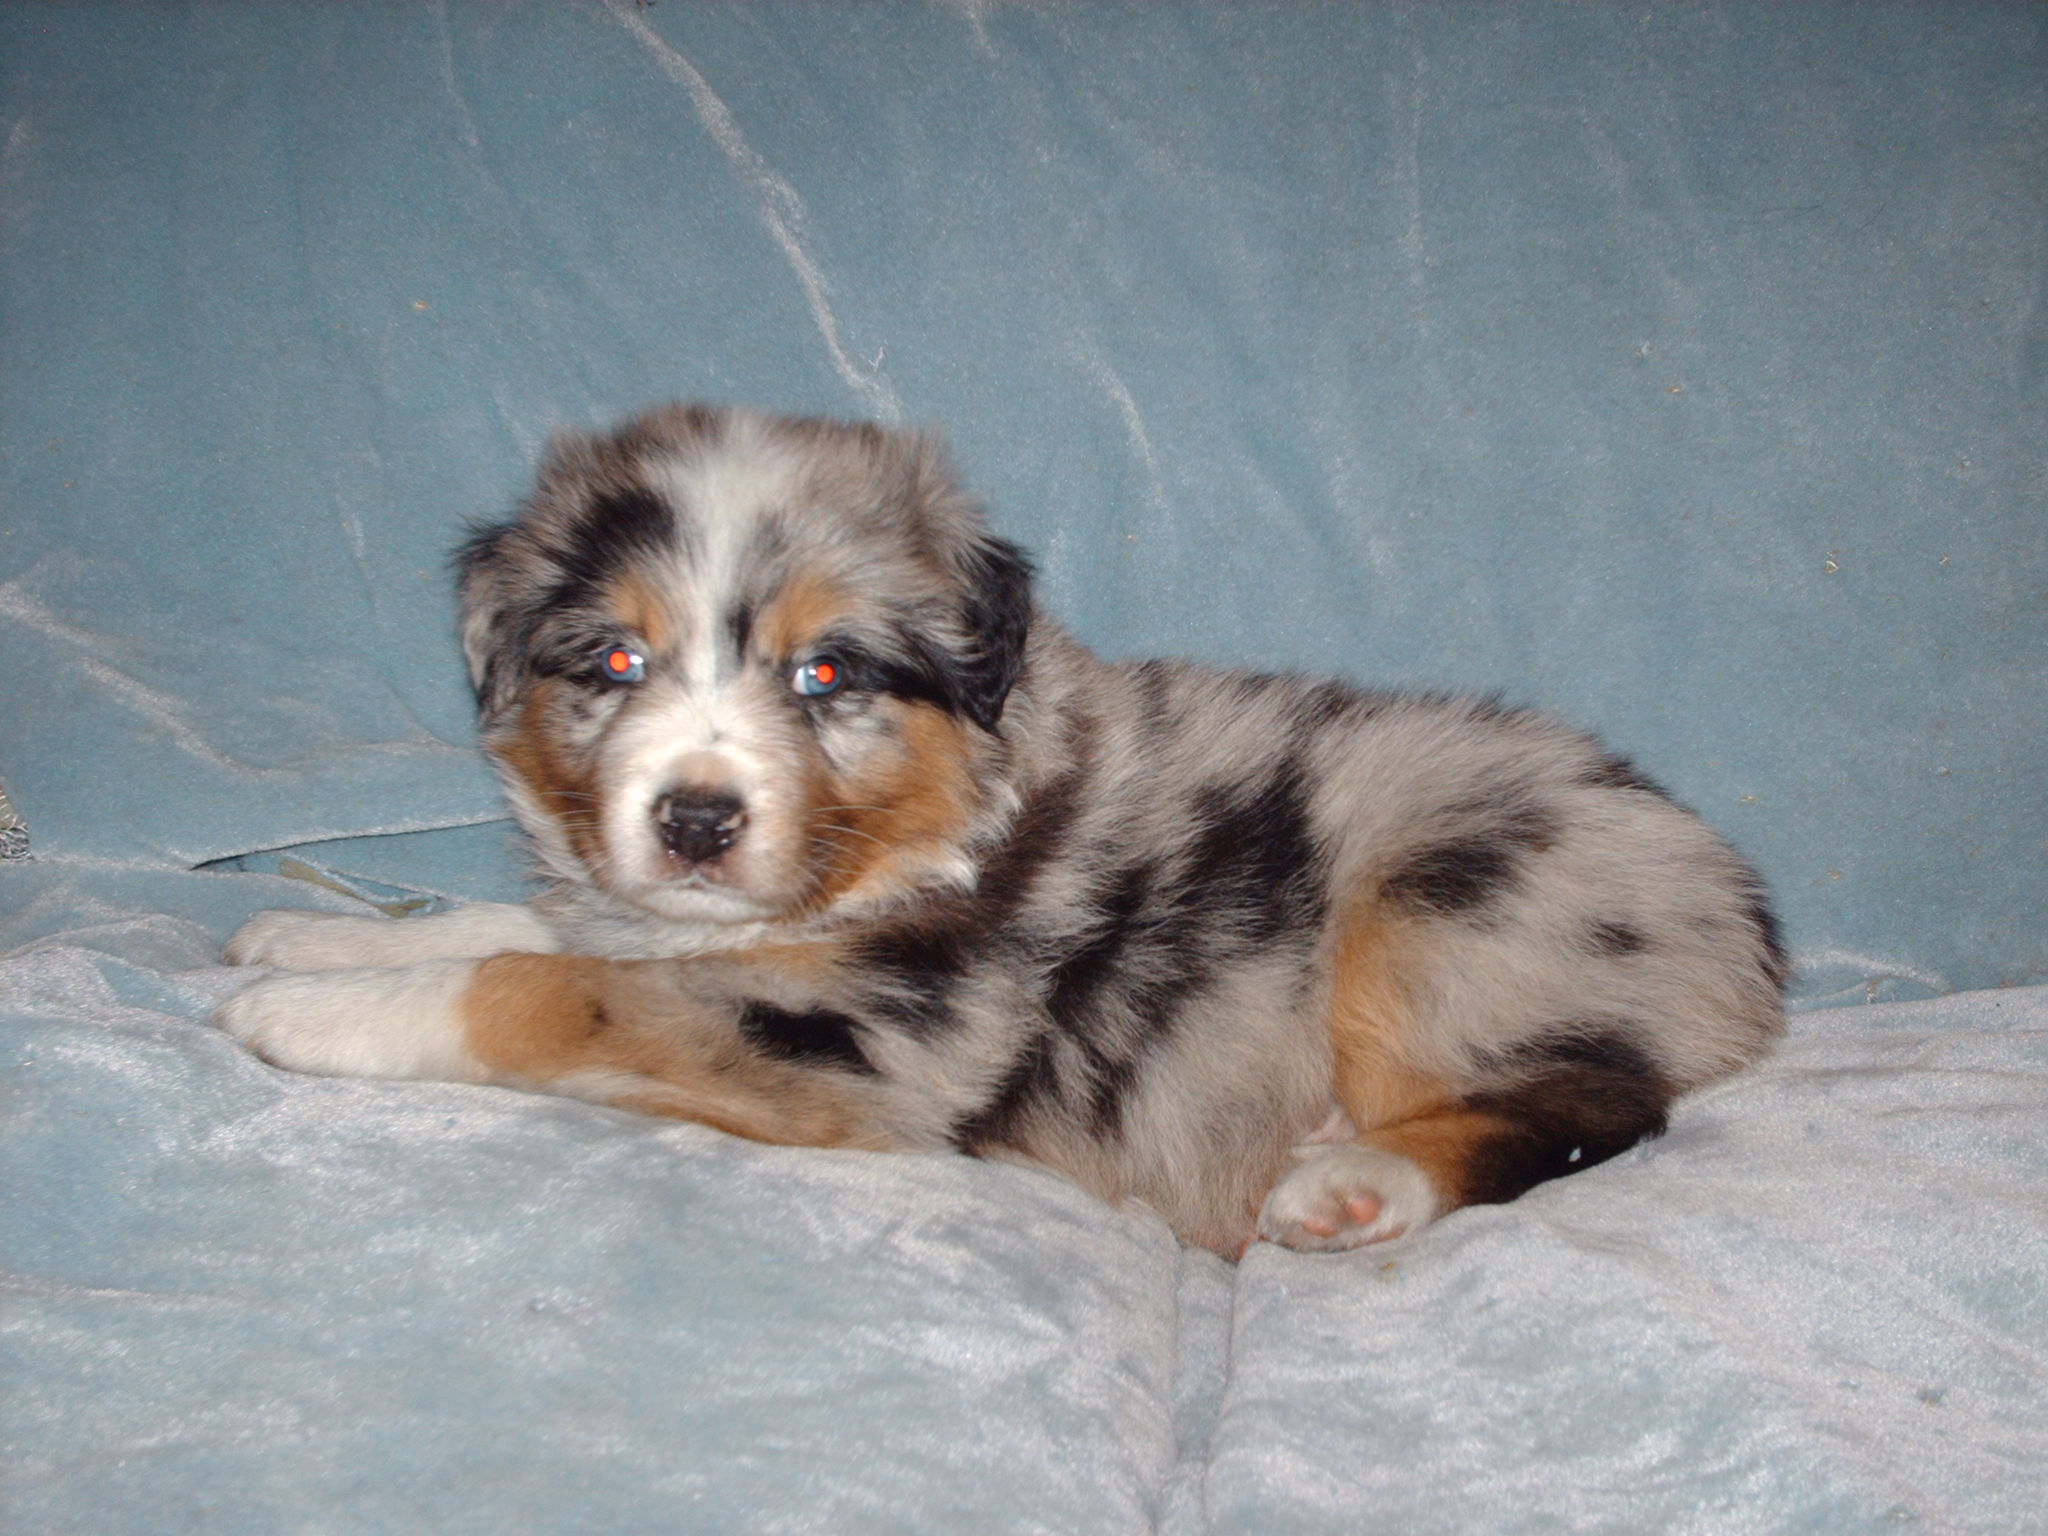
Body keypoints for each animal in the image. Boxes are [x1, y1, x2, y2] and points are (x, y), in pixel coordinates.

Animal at [216, 403, 1785, 1253]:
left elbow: (543, 985)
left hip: (1441, 896)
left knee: (1597, 1103)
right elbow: (537, 924)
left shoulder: (873, 1039)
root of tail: (1743, 921)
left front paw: (308, 1016)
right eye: (612, 661)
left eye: (826, 674)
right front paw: (304, 936)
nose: (697, 821)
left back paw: (1357, 1184)